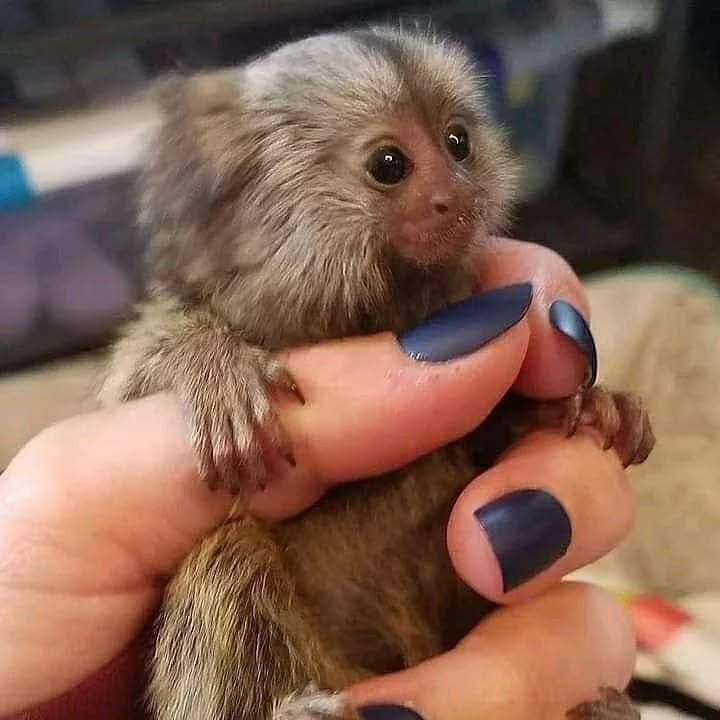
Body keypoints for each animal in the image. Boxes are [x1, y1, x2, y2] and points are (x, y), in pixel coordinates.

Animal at [100, 26, 655, 720]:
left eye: (458, 143)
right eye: (390, 164)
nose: (455, 196)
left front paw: (583, 406)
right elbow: (131, 380)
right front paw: (214, 366)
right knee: (226, 555)